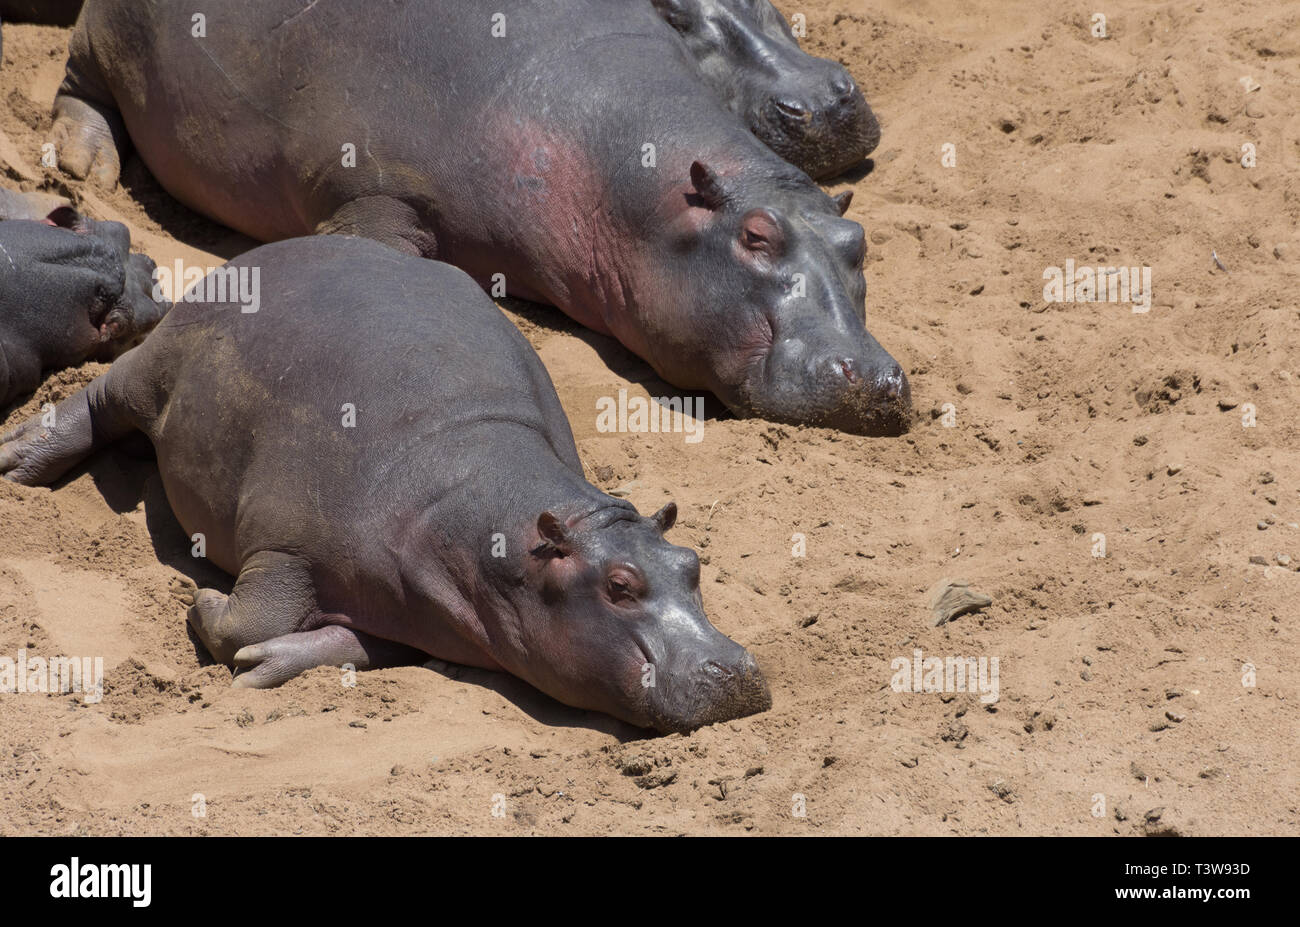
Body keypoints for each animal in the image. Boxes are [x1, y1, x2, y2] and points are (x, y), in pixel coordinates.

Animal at [0, 235, 769, 733]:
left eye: (693, 564)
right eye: (618, 585)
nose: (734, 670)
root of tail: (267, 249)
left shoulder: (419, 610)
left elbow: (354, 644)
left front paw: (265, 664)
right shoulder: (284, 544)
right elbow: (249, 615)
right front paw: (209, 609)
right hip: (157, 363)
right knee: (99, 399)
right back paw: (18, 463)